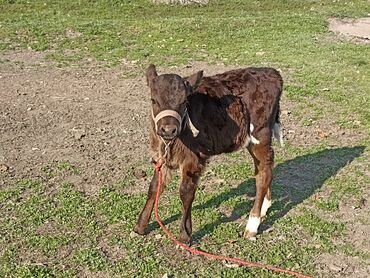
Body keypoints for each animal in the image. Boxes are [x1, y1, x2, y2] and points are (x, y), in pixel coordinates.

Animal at [134, 64, 284, 243]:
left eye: (184, 102)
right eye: (153, 100)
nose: (169, 130)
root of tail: (271, 72)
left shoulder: (193, 158)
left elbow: (185, 191)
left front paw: (185, 235)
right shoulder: (161, 157)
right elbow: (154, 187)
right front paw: (140, 226)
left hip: (261, 134)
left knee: (264, 174)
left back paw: (252, 225)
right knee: (262, 168)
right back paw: (264, 208)